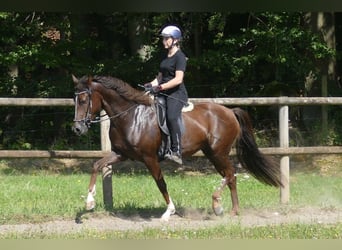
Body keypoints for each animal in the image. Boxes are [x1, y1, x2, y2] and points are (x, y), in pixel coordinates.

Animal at [71, 74, 282, 221]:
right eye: (75, 100)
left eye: (84, 100)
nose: (77, 128)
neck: (130, 116)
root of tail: (230, 111)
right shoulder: (120, 154)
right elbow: (97, 165)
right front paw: (89, 202)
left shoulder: (149, 158)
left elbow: (161, 183)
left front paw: (169, 211)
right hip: (212, 153)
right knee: (231, 177)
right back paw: (233, 210)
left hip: (218, 152)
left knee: (230, 174)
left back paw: (218, 205)